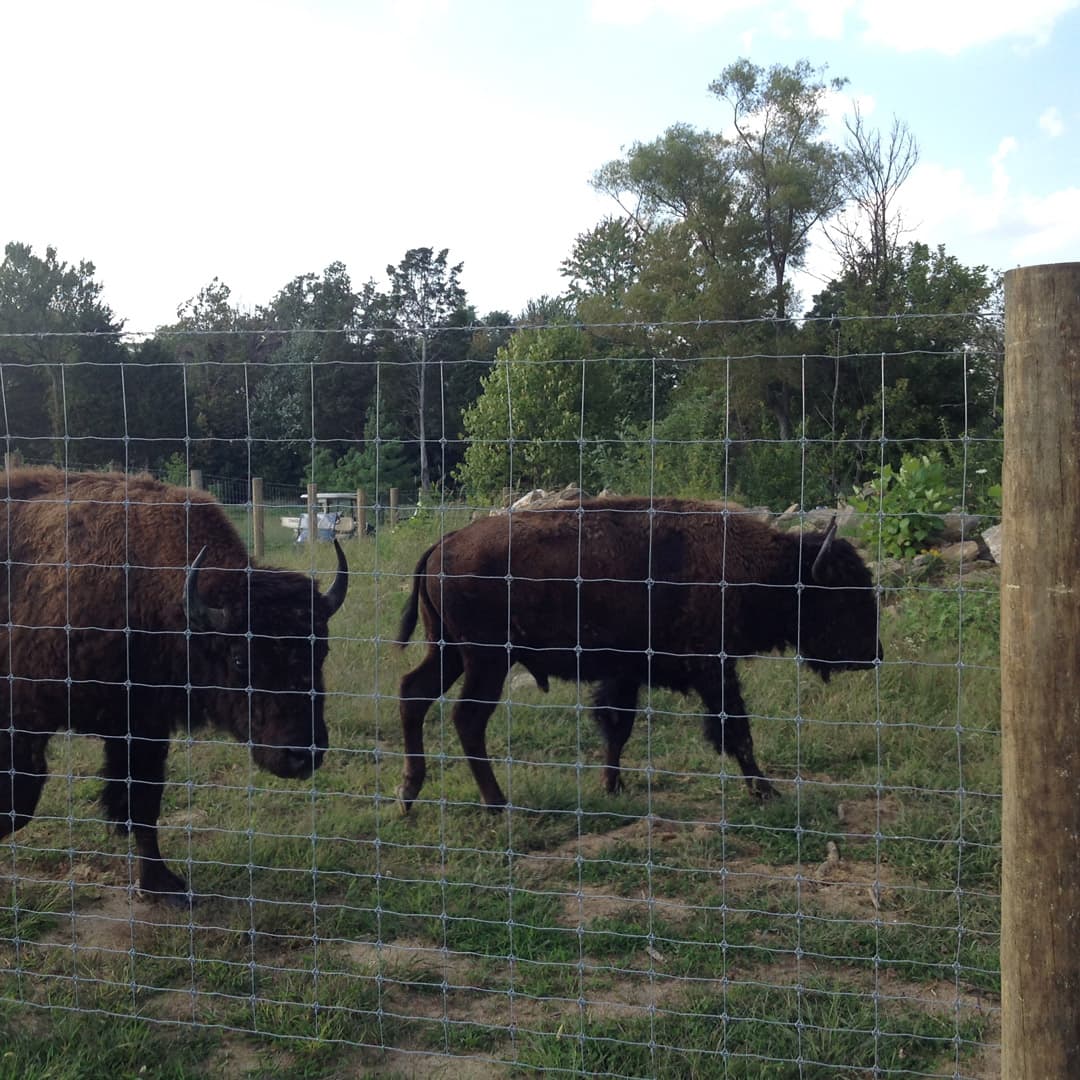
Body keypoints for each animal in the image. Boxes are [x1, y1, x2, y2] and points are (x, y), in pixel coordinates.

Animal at [0, 468, 348, 901]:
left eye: (321, 651)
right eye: (239, 658)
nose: (302, 755)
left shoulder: (142, 725)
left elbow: (144, 802)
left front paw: (163, 885)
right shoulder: (24, 723)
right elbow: (18, 805)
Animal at [396, 497, 880, 810]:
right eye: (843, 596)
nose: (872, 653)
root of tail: (443, 544)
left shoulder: (625, 672)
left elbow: (618, 727)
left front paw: (611, 785)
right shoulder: (714, 671)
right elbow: (737, 731)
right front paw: (766, 791)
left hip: (448, 652)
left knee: (413, 694)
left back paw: (409, 794)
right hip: (487, 660)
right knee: (467, 718)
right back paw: (496, 802)